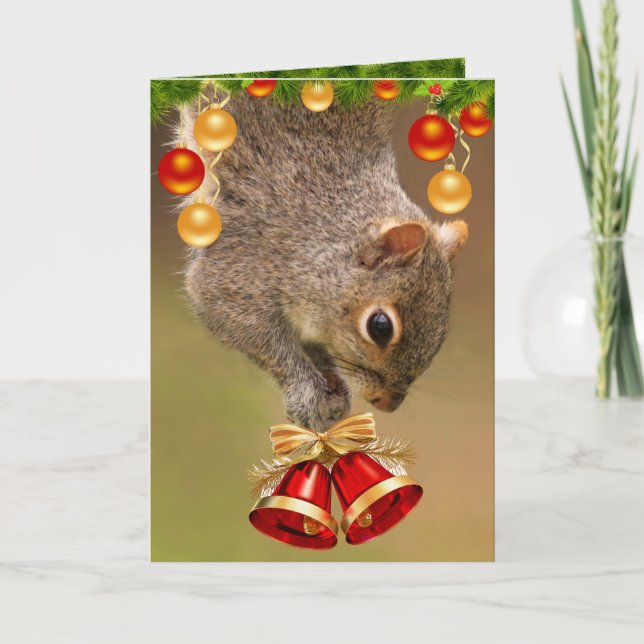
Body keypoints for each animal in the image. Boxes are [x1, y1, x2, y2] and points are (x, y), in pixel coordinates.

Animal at [180, 92, 468, 431]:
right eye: (380, 327)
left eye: (443, 328)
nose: (388, 404)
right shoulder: (239, 269)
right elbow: (258, 339)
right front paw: (306, 392)